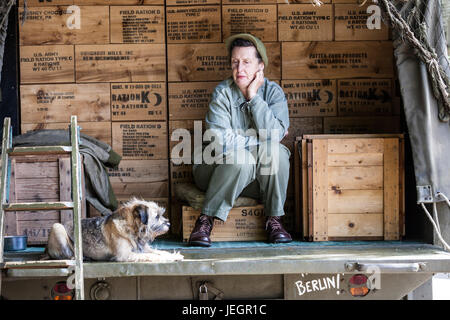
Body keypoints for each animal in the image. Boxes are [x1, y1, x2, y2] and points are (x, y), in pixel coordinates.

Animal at [47, 198, 183, 262]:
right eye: (157, 216)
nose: (169, 223)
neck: (132, 228)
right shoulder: (125, 255)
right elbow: (152, 256)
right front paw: (170, 258)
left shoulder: (143, 249)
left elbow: (159, 252)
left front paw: (173, 255)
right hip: (57, 227)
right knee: (67, 256)